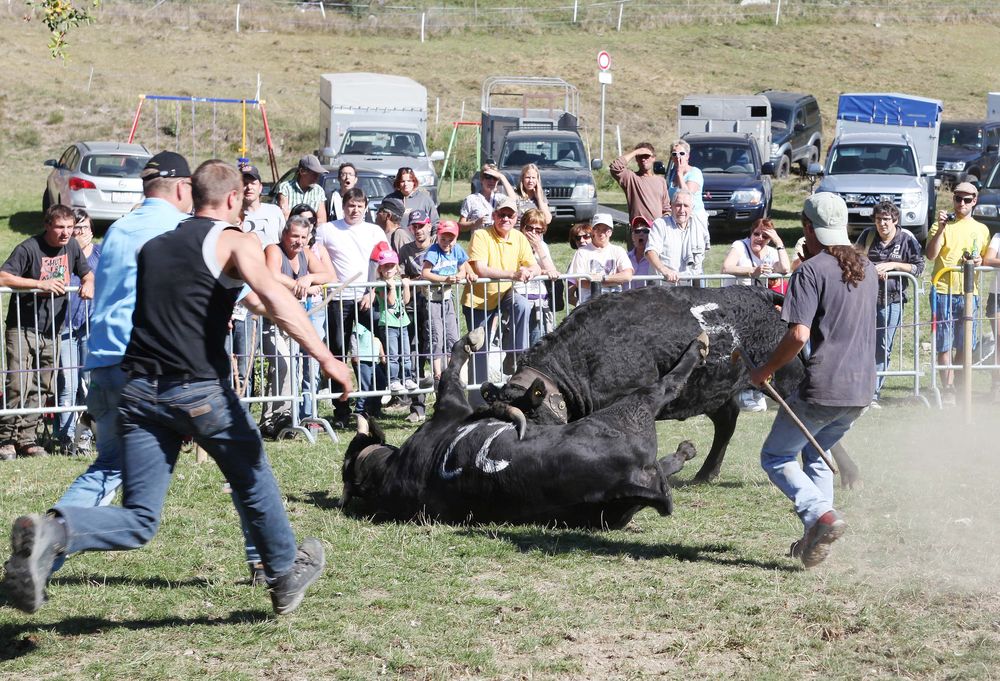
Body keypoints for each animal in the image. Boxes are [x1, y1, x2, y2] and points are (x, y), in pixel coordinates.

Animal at [344, 326, 712, 528]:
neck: (390, 469)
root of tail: (629, 479)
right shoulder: (451, 405)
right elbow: (451, 369)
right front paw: (470, 340)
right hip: (635, 406)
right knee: (668, 385)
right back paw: (697, 348)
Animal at [484, 284, 860, 486]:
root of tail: (758, 292)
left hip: (786, 376)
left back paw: (848, 472)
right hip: (715, 390)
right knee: (727, 422)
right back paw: (706, 472)